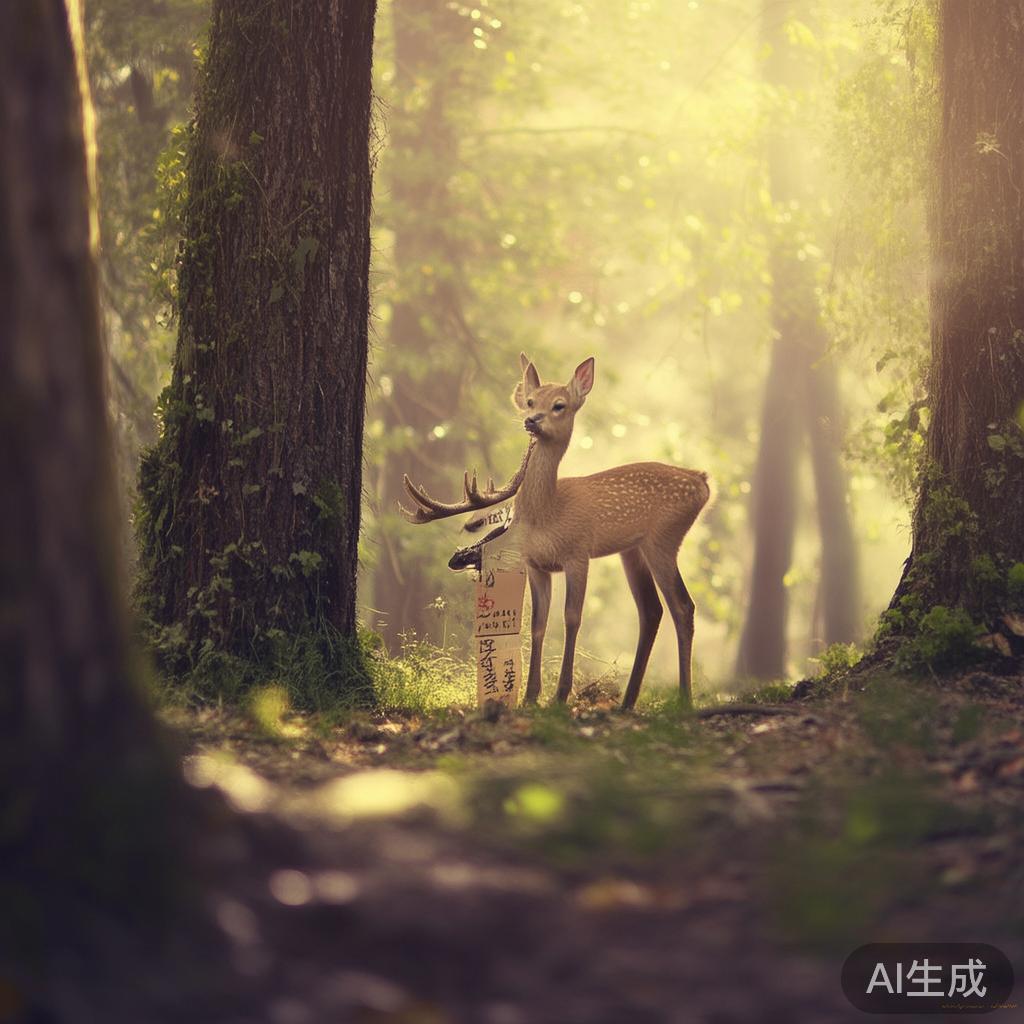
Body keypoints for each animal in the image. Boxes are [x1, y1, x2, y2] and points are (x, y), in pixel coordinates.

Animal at [399, 354, 710, 709]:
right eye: (531, 401)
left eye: (559, 405)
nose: (532, 420)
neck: (548, 515)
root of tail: (703, 481)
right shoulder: (536, 565)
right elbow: (538, 624)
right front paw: (530, 696)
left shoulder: (579, 553)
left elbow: (572, 617)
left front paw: (560, 695)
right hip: (631, 551)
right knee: (651, 610)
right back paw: (627, 701)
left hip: (665, 538)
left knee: (683, 606)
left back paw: (684, 699)